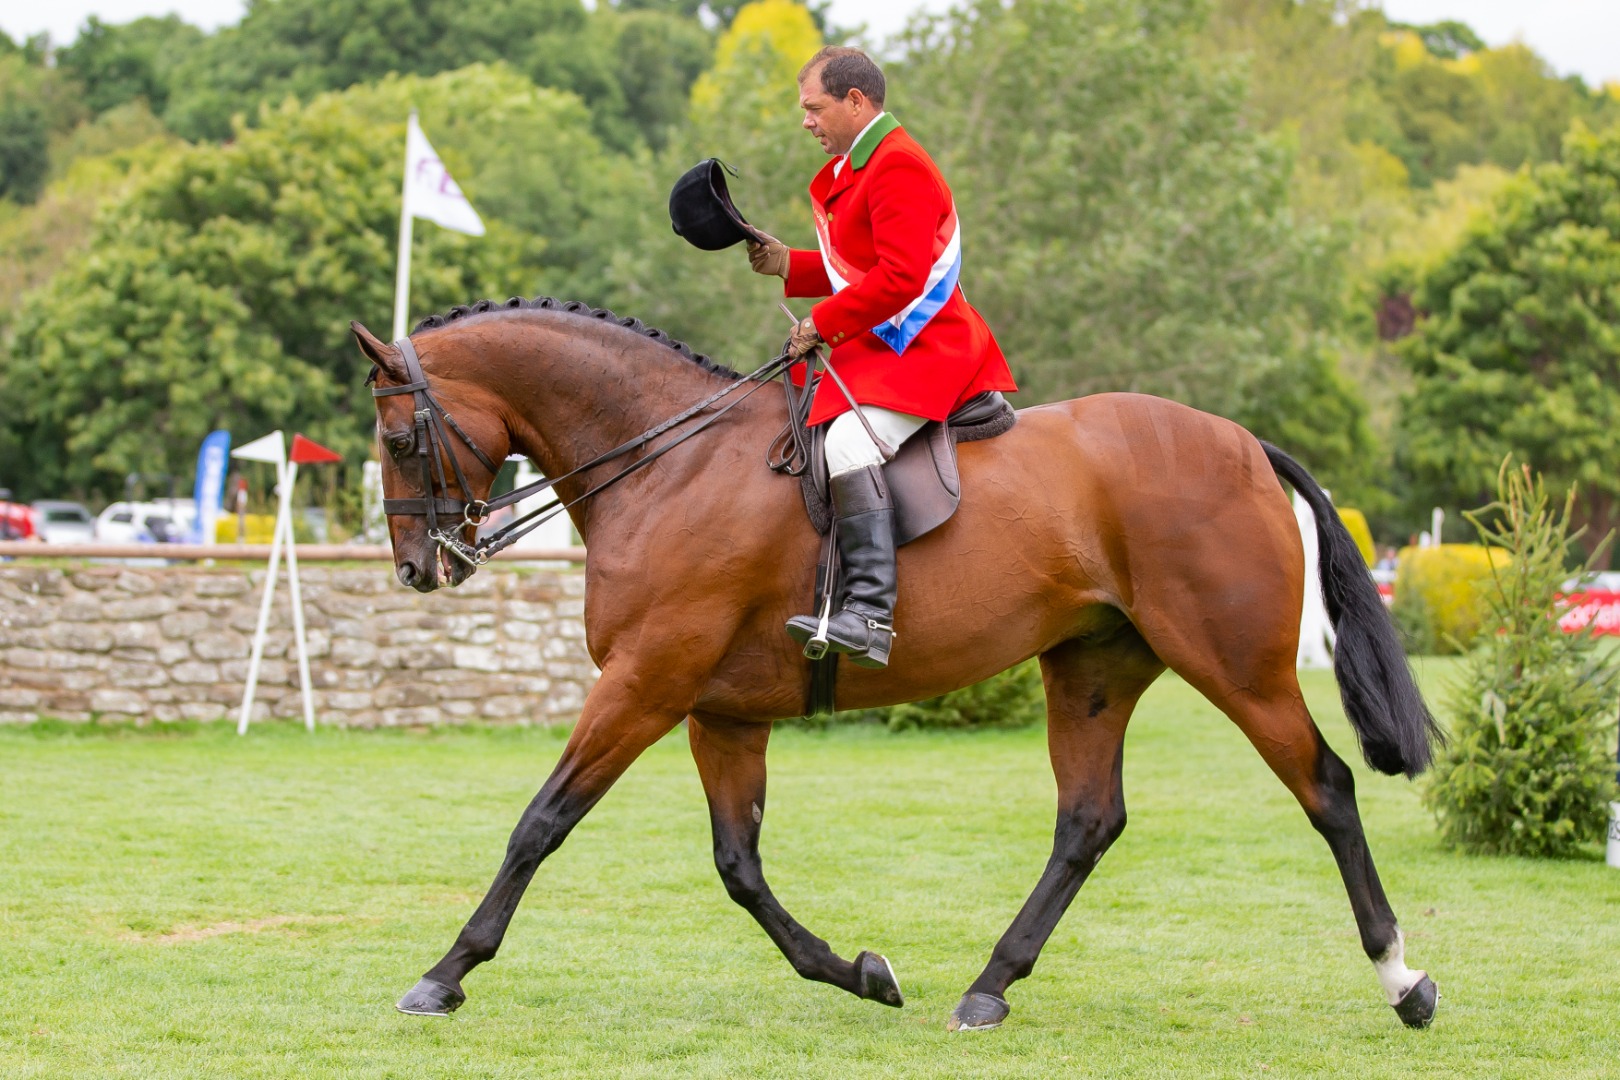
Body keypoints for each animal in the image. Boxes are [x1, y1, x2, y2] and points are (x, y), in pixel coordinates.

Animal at [352, 296, 1443, 1032]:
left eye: (400, 437)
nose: (417, 568)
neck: (670, 464)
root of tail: (1246, 444)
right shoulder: (719, 712)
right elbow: (740, 868)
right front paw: (859, 972)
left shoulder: (645, 683)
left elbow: (541, 824)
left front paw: (446, 972)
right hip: (1092, 669)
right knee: (1089, 821)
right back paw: (989, 987)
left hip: (1238, 667)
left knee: (1327, 788)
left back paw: (1404, 980)